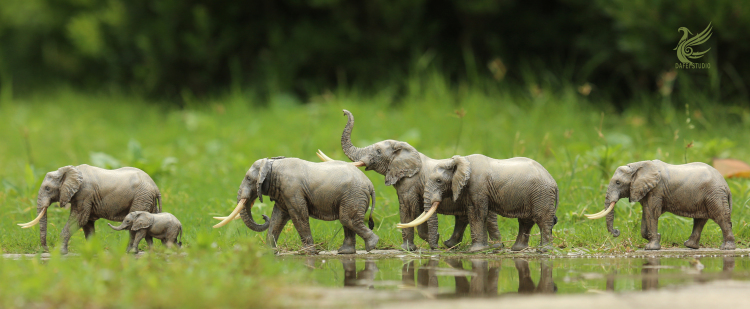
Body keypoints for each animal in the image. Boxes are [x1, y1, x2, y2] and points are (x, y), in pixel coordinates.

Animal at [18, 165, 162, 254]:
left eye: (47, 189)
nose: (46, 250)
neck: (72, 170)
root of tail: (155, 186)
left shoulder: (84, 193)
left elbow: (79, 219)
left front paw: (60, 253)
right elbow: (87, 223)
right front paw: (91, 251)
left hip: (141, 198)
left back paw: (129, 252)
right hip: (148, 200)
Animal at [213, 155, 378, 254]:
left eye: (248, 179)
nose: (262, 216)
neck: (272, 164)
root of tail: (371, 185)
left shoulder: (292, 190)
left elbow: (298, 215)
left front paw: (309, 252)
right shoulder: (283, 193)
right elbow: (277, 218)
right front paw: (269, 252)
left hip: (353, 195)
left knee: (347, 219)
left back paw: (371, 246)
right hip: (350, 197)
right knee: (347, 221)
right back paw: (345, 252)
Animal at [316, 109, 500, 249]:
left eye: (378, 152)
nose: (343, 112)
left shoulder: (410, 183)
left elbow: (409, 209)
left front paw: (412, 247)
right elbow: (414, 210)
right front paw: (427, 241)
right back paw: (453, 245)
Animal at [402, 154, 560, 250]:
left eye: (439, 181)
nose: (438, 246)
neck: (461, 161)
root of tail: (554, 182)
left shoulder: (477, 186)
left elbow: (477, 213)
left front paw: (475, 250)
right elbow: (482, 214)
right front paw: (483, 248)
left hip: (542, 195)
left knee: (542, 219)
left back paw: (543, 250)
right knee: (526, 221)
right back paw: (517, 249)